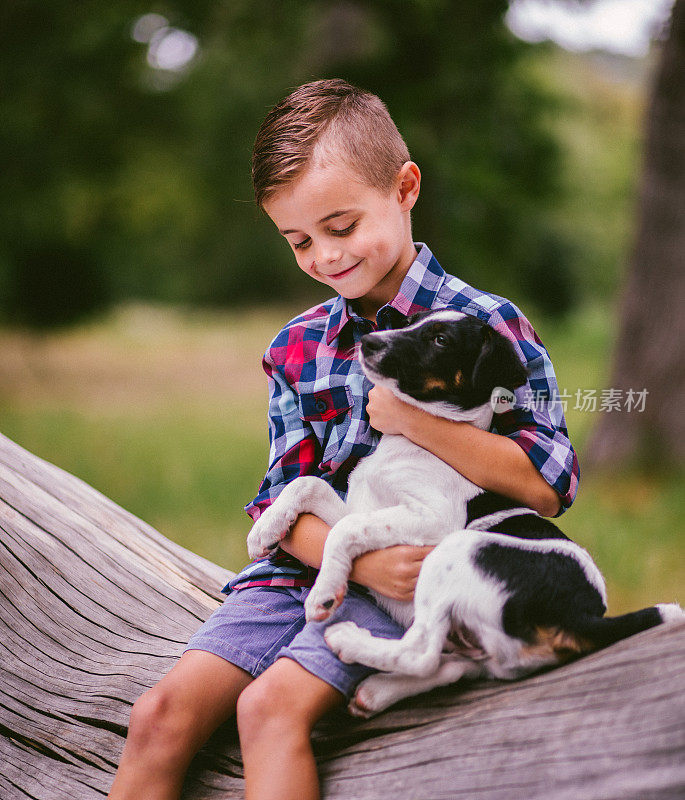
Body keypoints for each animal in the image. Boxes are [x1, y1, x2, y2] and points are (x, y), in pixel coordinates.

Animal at [244, 310, 680, 716]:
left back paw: (347, 641)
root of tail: (584, 615)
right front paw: (265, 531)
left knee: (421, 652)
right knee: (450, 665)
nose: (368, 342)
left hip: (457, 550)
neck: (414, 442)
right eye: (414, 322)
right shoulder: (364, 503)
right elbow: (307, 485)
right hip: (488, 649)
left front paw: (325, 592)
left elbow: (346, 529)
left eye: (441, 340)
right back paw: (377, 689)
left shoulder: (434, 518)